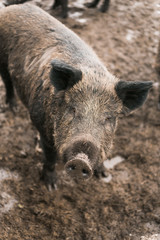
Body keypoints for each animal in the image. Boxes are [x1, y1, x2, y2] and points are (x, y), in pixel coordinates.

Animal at [0, 2, 152, 188]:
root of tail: (14, 7)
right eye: (72, 109)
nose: (81, 160)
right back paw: (12, 108)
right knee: (7, 81)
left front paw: (104, 175)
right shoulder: (43, 129)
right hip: (2, 58)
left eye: (108, 118)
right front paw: (51, 186)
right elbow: (50, 157)